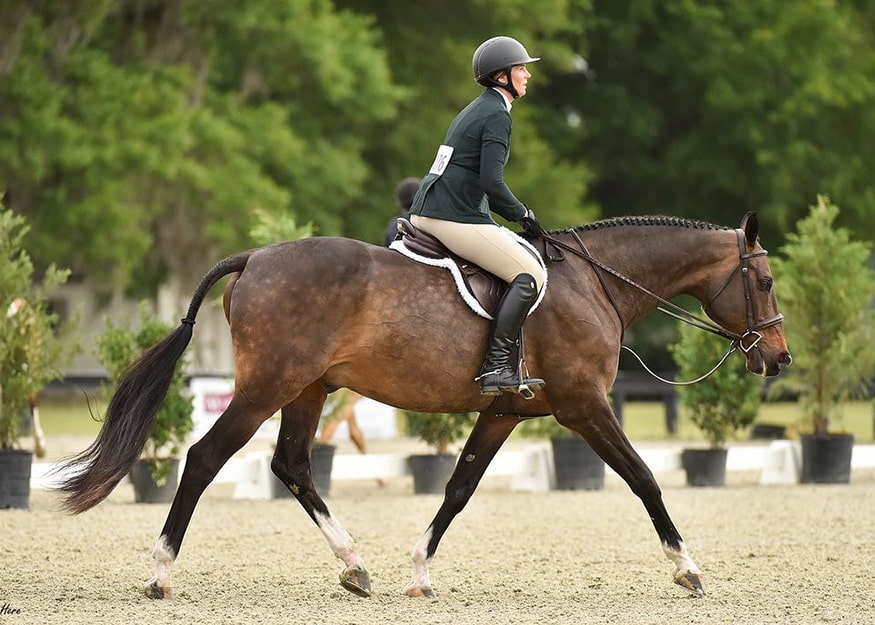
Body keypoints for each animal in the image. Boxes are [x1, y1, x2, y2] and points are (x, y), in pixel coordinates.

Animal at [54, 211, 792, 600]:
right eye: (763, 279)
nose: (779, 359)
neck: (593, 284)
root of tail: (255, 257)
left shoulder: (505, 413)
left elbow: (459, 487)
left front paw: (418, 571)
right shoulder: (585, 407)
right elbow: (643, 479)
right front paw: (687, 568)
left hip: (307, 389)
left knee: (292, 464)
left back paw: (355, 566)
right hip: (268, 387)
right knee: (206, 458)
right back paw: (160, 571)